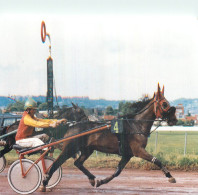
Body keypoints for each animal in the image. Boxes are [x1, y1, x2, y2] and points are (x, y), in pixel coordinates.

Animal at [41, 84, 177, 191]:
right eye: (165, 104)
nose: (174, 120)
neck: (136, 125)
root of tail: (71, 126)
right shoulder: (138, 150)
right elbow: (156, 160)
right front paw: (170, 176)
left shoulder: (127, 154)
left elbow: (117, 172)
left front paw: (101, 181)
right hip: (70, 148)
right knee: (56, 163)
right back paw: (44, 183)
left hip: (87, 149)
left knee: (78, 163)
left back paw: (92, 179)